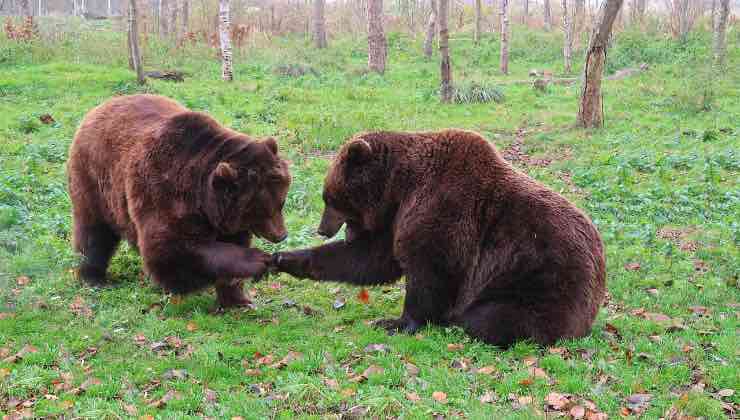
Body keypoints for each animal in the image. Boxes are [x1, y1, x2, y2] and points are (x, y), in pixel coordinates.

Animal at [67, 93, 292, 306]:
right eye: (262, 210)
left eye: (281, 203)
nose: (281, 235)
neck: (204, 199)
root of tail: (99, 108)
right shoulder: (164, 192)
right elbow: (171, 252)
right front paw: (257, 261)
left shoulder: (225, 219)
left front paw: (238, 300)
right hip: (95, 181)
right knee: (94, 232)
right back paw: (93, 277)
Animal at [274, 130, 604, 346]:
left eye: (329, 198)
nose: (322, 229)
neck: (398, 187)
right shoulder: (397, 218)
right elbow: (371, 259)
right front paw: (287, 258)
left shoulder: (442, 209)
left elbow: (430, 270)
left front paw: (397, 322)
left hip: (540, 280)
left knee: (493, 318)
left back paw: (459, 321)